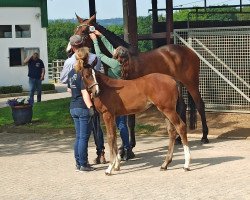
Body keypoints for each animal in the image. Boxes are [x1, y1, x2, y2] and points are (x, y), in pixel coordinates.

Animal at [71, 14, 209, 145]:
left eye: (84, 31)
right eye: (75, 29)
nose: (72, 48)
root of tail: (190, 51)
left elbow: (130, 120)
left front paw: (129, 147)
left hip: (191, 83)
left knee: (200, 104)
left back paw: (204, 137)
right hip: (178, 85)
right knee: (182, 107)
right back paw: (180, 140)